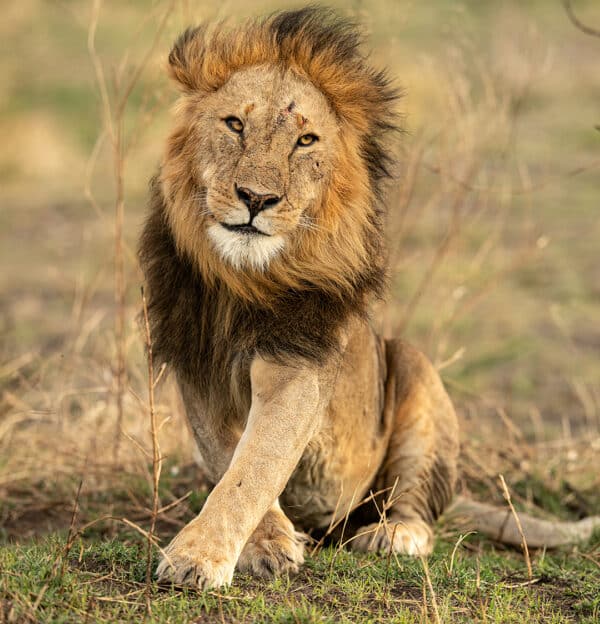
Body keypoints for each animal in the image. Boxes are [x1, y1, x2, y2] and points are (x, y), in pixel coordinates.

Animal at [139, 7, 600, 588]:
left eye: (306, 141)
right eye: (234, 125)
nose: (257, 199)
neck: (243, 280)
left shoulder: (300, 365)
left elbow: (256, 464)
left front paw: (196, 558)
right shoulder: (197, 368)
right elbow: (230, 460)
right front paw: (270, 542)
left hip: (413, 369)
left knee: (415, 504)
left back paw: (393, 534)